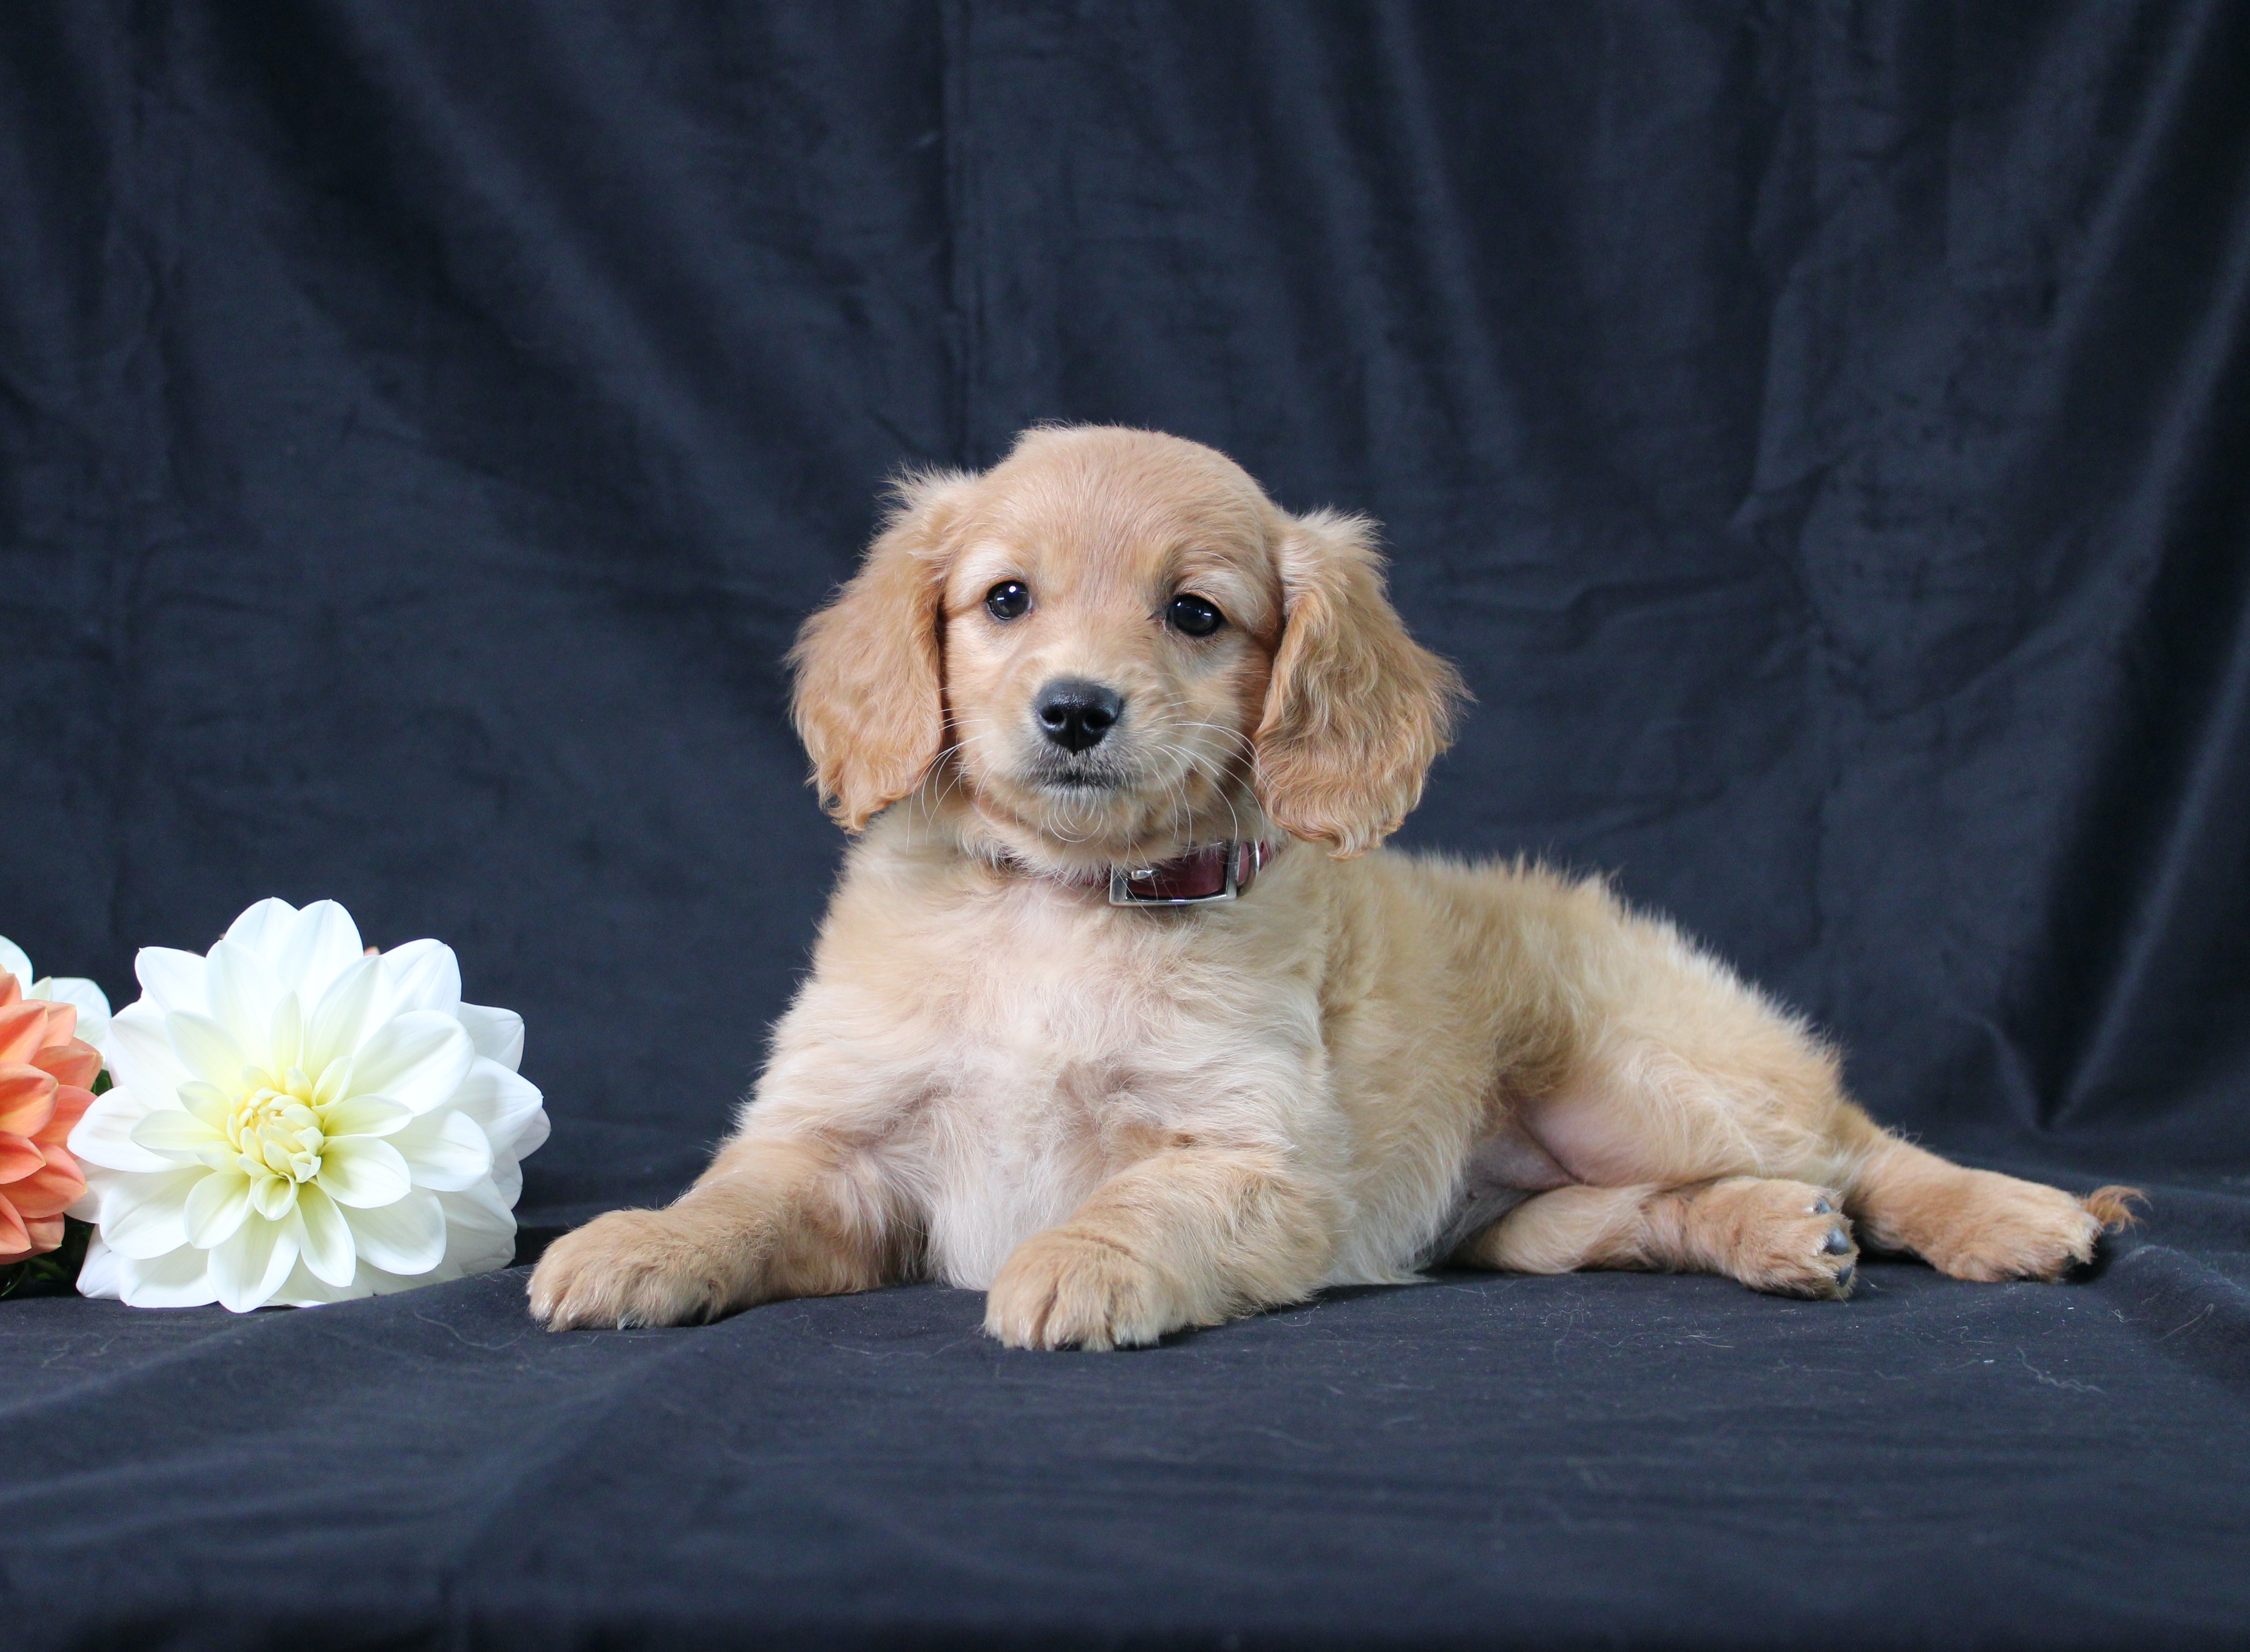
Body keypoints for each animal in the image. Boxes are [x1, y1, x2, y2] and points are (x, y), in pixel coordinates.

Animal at [522, 423, 2124, 1350]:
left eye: (1194, 613)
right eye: (1004, 599)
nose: (1075, 710)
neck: (1060, 907)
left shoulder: (1254, 1152)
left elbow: (1140, 1199)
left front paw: (1078, 1263)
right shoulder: (840, 1141)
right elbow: (738, 1196)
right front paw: (644, 1241)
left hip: (1658, 1070)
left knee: (1858, 1140)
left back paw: (2021, 1217)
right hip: (1527, 1207)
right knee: (1653, 1210)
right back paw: (1779, 1236)